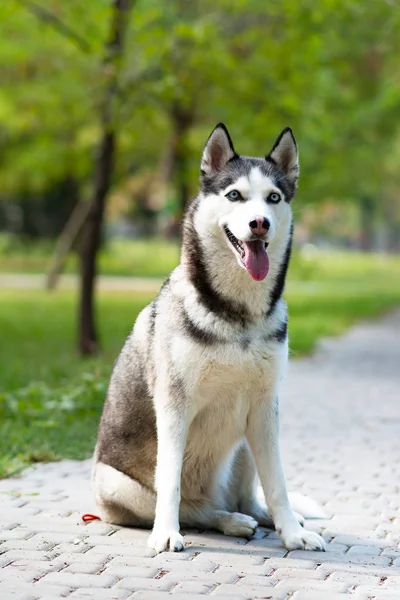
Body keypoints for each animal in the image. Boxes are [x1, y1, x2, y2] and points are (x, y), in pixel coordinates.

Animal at [92, 122, 326, 552]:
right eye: (234, 195)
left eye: (273, 198)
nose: (260, 223)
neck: (238, 315)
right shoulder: (173, 407)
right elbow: (169, 482)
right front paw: (166, 534)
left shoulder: (265, 407)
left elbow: (278, 482)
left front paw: (292, 532)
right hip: (117, 485)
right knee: (194, 509)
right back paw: (226, 521)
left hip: (247, 441)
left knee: (247, 498)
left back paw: (259, 516)